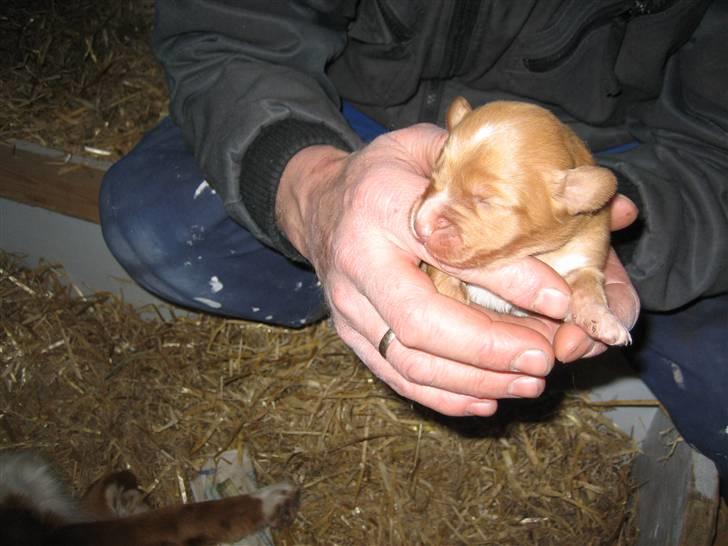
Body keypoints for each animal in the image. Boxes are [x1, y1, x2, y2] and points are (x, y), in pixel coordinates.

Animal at [416, 98, 632, 344]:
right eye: (434, 175)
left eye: (485, 201)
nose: (420, 225)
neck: (537, 252)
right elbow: (439, 272)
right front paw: (450, 294)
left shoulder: (585, 256)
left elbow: (589, 286)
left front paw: (605, 320)